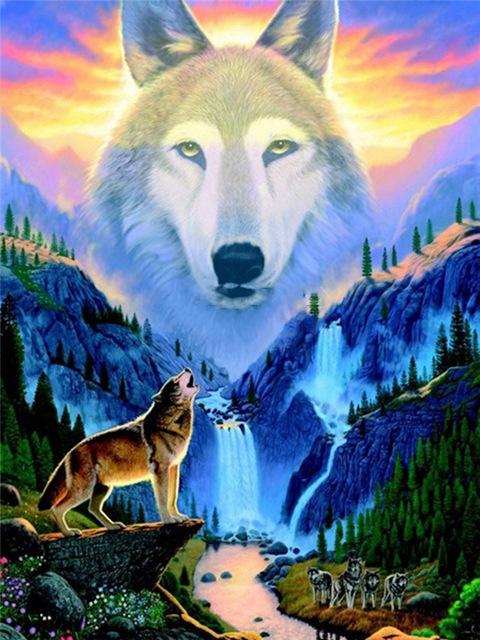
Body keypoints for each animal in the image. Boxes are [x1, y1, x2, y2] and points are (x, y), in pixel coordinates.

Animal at [38, 369, 199, 536]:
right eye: (175, 380)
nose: (187, 369)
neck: (172, 422)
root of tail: (69, 452)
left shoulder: (173, 468)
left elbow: (172, 498)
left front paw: (178, 516)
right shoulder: (160, 470)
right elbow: (163, 498)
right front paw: (168, 520)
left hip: (103, 488)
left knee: (92, 508)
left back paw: (112, 526)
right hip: (83, 491)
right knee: (57, 508)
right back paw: (69, 533)